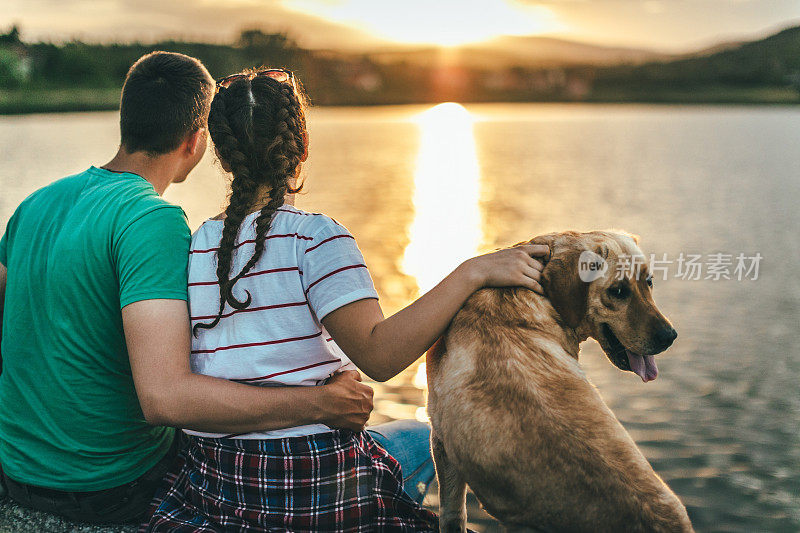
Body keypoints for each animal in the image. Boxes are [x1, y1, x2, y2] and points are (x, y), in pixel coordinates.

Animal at [424, 231, 692, 532]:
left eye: (649, 281)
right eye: (618, 291)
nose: (669, 336)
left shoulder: (441, 440)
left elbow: (452, 514)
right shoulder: (441, 442)